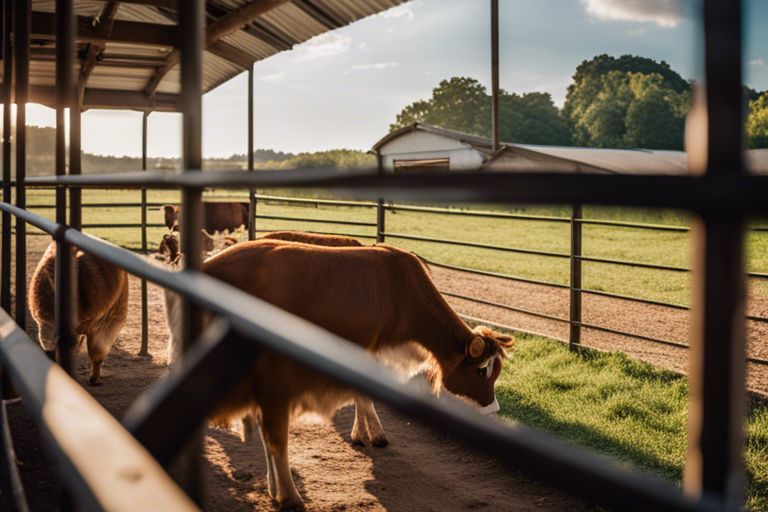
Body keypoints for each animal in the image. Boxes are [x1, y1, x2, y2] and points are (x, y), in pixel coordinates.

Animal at [166, 239, 516, 508]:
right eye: (482, 370)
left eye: (496, 371)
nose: (493, 409)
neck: (400, 291)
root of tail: (209, 265)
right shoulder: (367, 344)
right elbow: (363, 393)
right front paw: (370, 433)